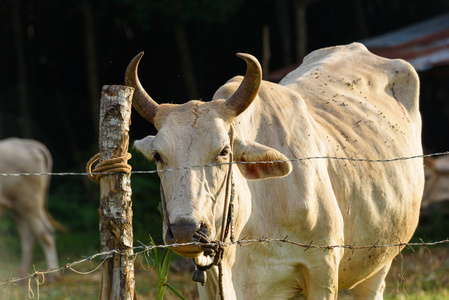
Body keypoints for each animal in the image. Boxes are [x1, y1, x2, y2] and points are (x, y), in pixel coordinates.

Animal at [0, 138, 62, 282]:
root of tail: (27, 143)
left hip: (29, 201)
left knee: (44, 233)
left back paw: (53, 276)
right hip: (19, 206)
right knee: (28, 236)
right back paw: (21, 276)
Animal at [126, 42, 424, 300]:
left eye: (224, 151)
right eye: (158, 156)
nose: (186, 230)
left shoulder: (323, 269)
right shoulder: (209, 284)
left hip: (380, 260)